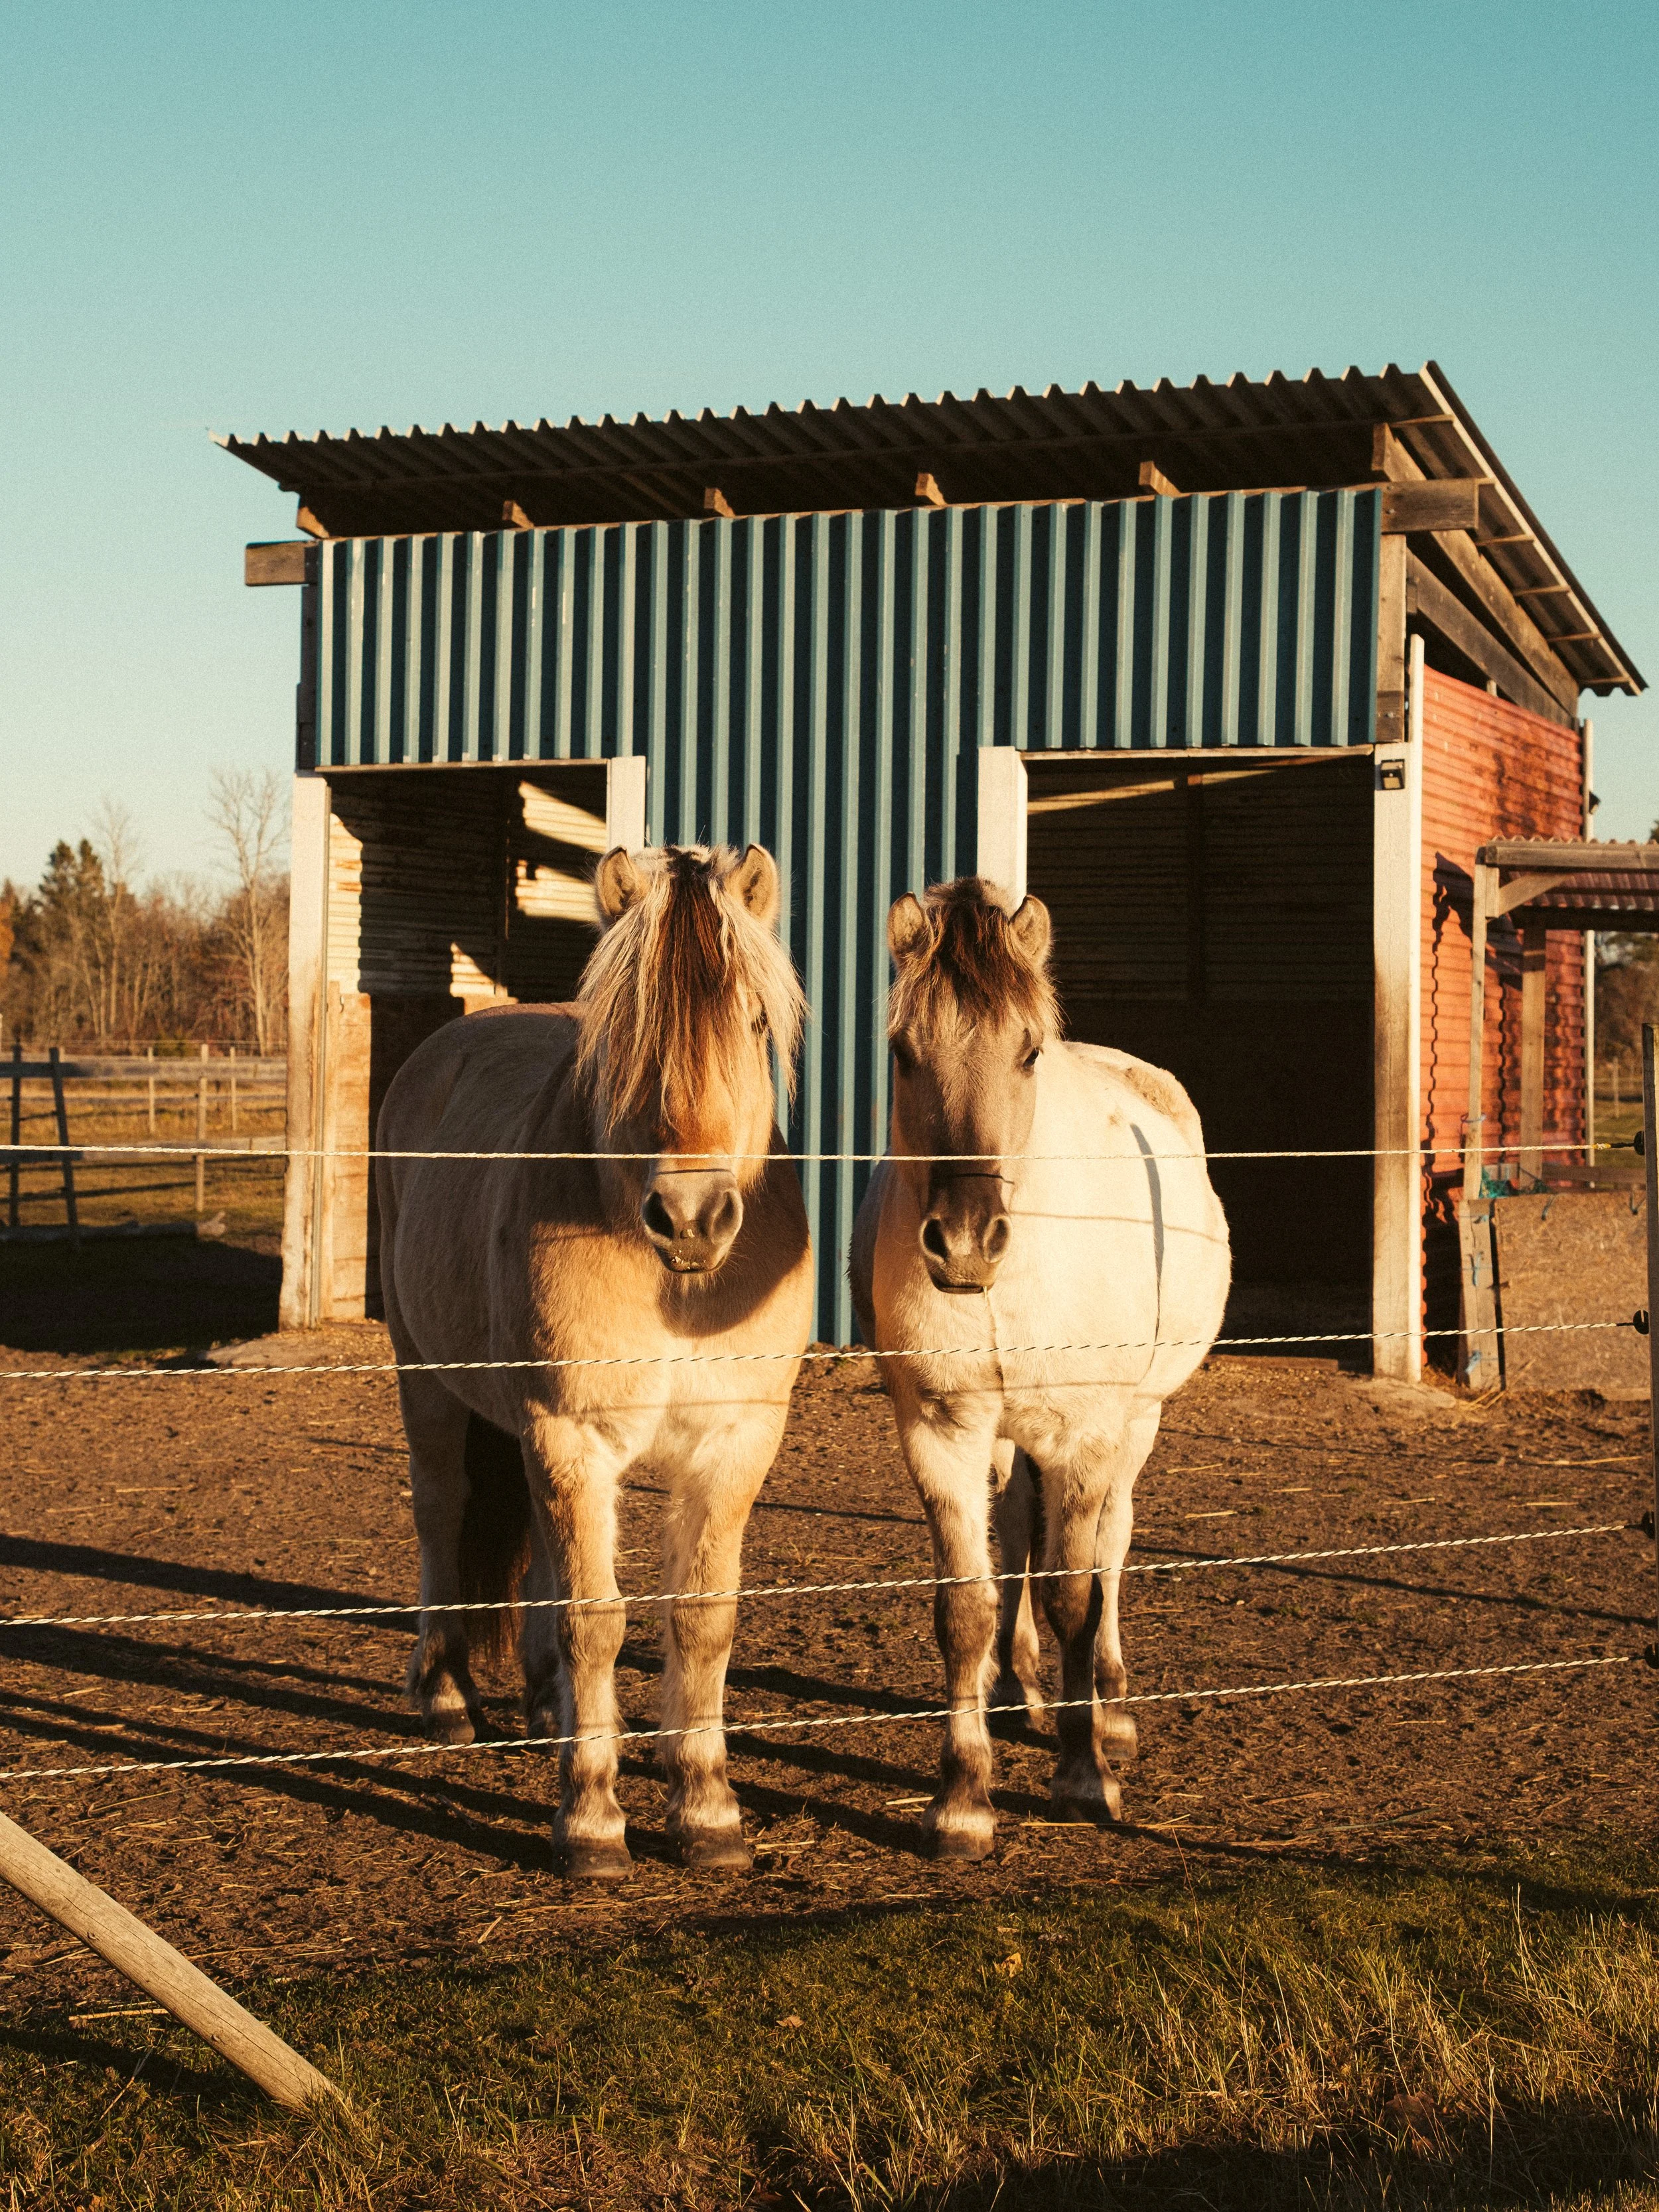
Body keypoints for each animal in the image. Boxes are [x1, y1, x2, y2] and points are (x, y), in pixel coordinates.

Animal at [376, 843, 813, 1881]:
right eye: (625, 1035)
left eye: (753, 1019)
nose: (691, 1218)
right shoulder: (571, 1435)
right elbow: (597, 1618)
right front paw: (591, 1820)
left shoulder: (735, 1442)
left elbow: (700, 1614)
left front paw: (707, 1810)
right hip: (428, 1381)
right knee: (443, 1512)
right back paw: (446, 1696)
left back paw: (546, 1704)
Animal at [850, 877, 1230, 1858]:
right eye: (902, 1051)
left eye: (1026, 1052)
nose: (964, 1242)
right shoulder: (941, 1434)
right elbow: (965, 1606)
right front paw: (961, 1799)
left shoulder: (1087, 1434)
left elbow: (1075, 1592)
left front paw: (1083, 1771)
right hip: (1010, 1440)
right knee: (1019, 1531)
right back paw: (1018, 1687)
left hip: (1135, 1423)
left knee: (1111, 1547)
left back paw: (1108, 1705)